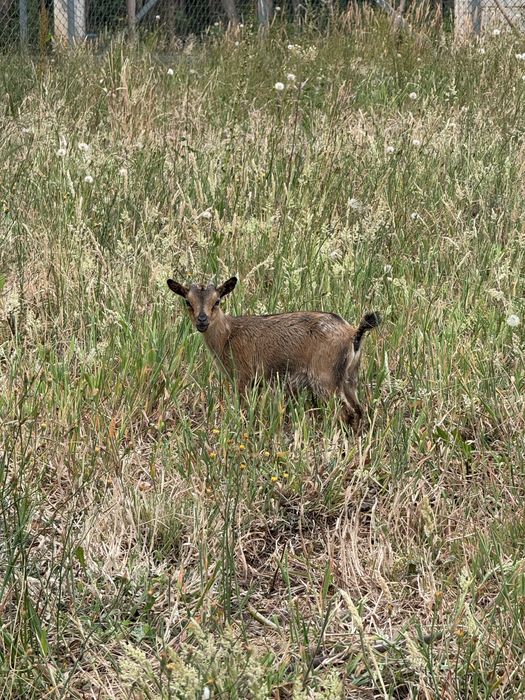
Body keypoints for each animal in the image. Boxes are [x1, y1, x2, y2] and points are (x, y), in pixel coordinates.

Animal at [167, 276, 380, 428]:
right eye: (188, 301)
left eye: (217, 300)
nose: (202, 320)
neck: (228, 334)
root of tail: (353, 334)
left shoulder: (243, 378)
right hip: (349, 379)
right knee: (359, 410)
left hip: (326, 380)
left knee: (346, 412)